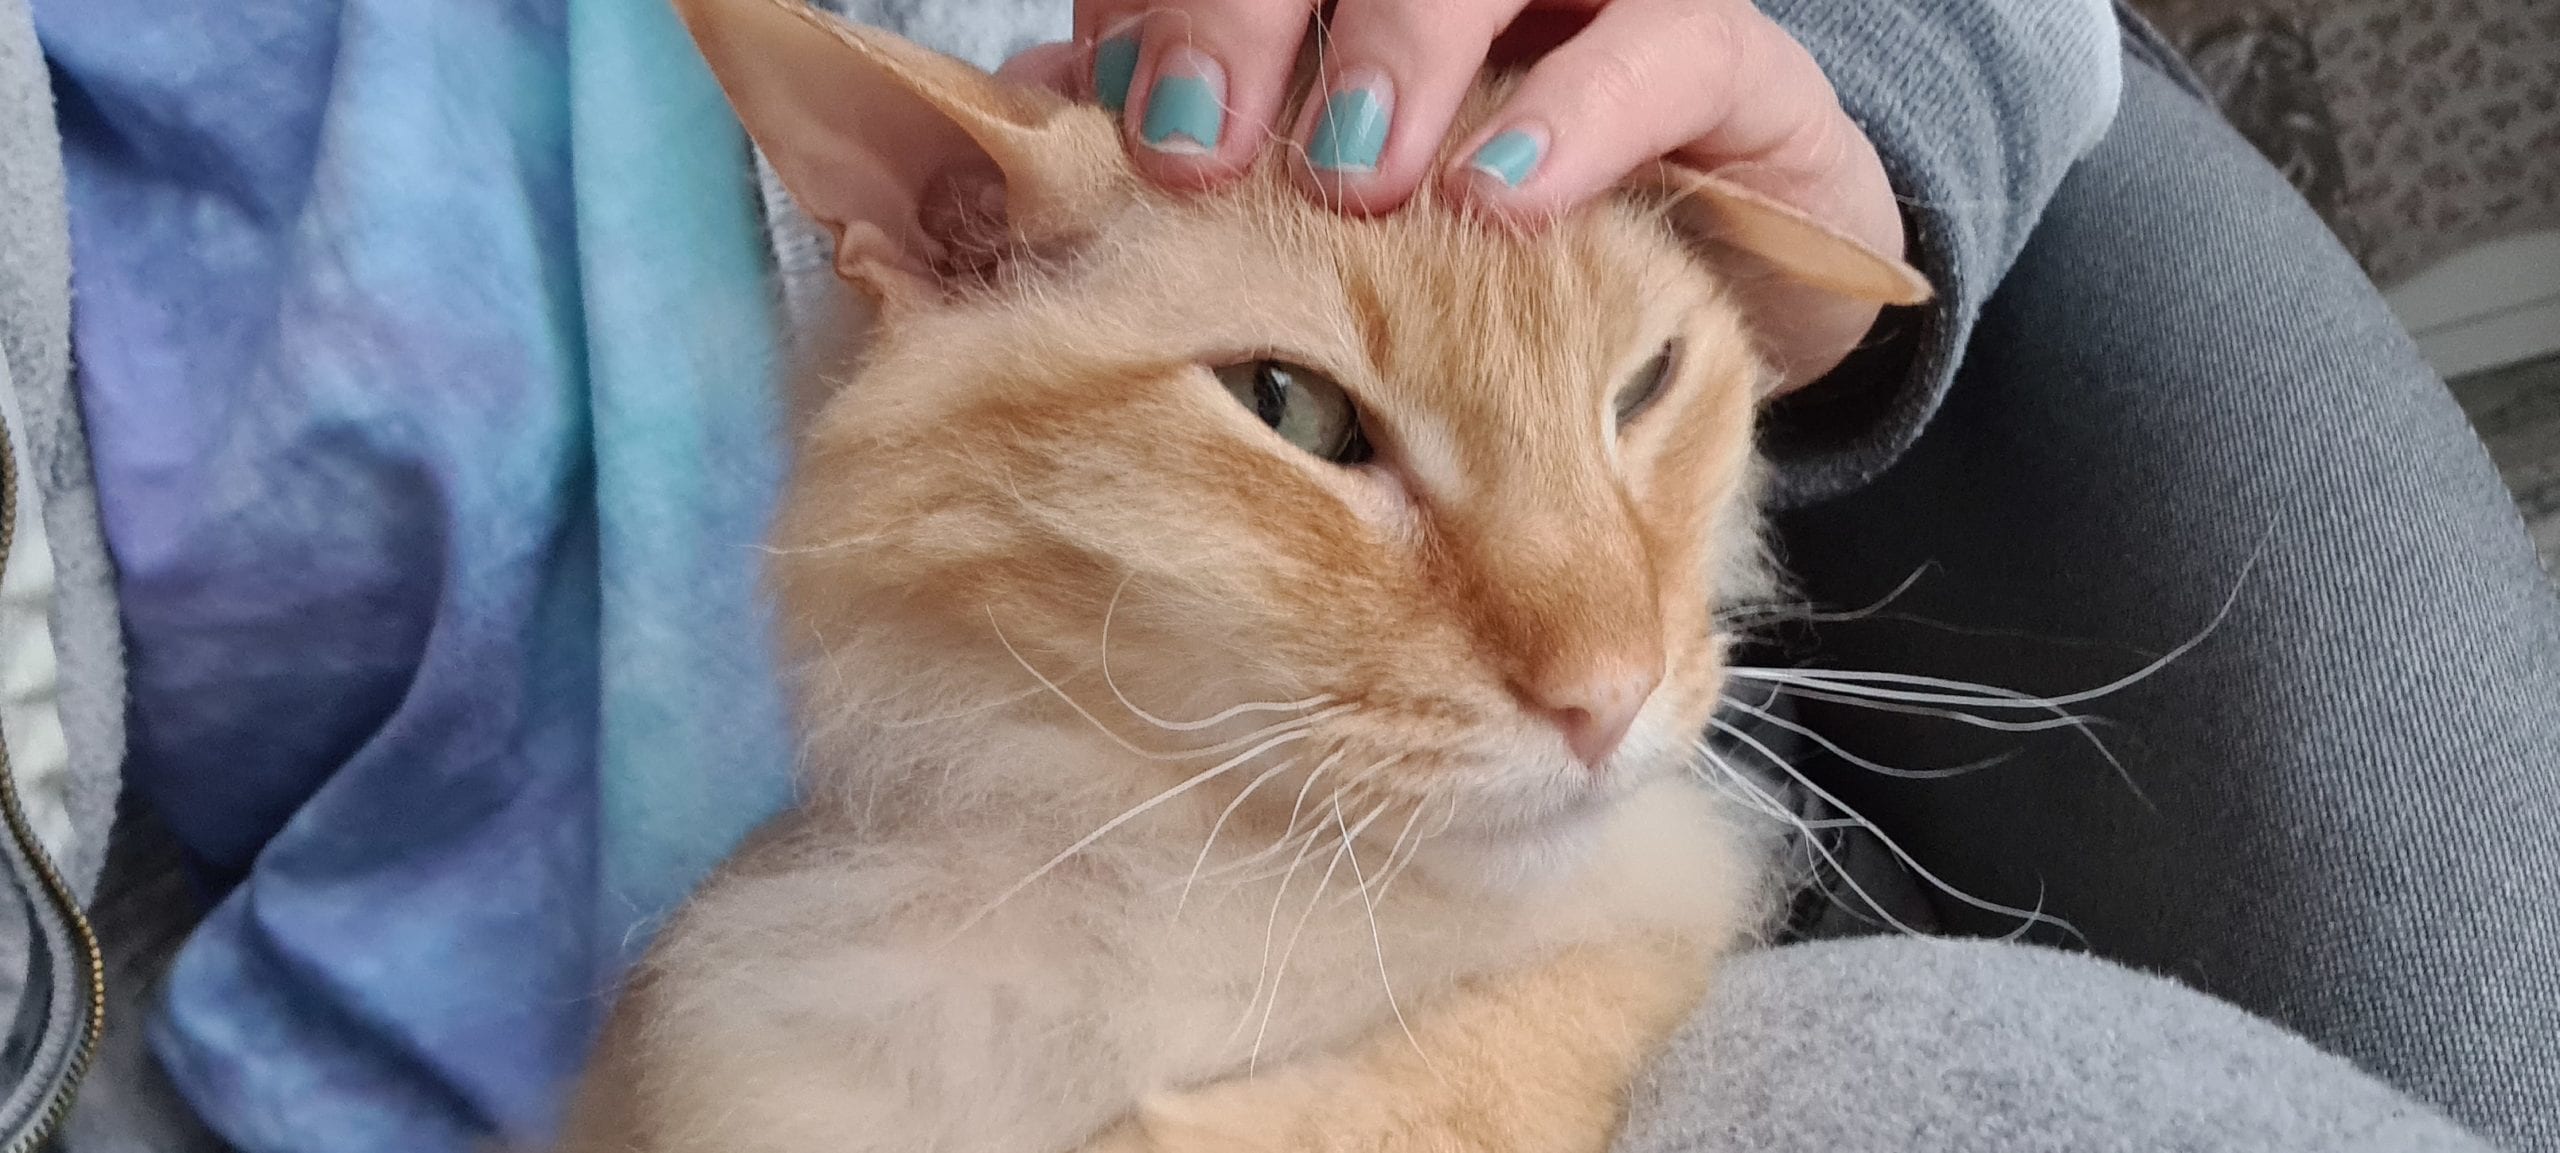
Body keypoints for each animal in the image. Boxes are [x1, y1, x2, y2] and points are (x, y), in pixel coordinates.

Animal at [550, 2, 1925, 1153]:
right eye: (1289, 409)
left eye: (1644, 387)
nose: (1611, 696)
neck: (1215, 884)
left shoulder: (1652, 911)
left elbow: (1504, 1045)